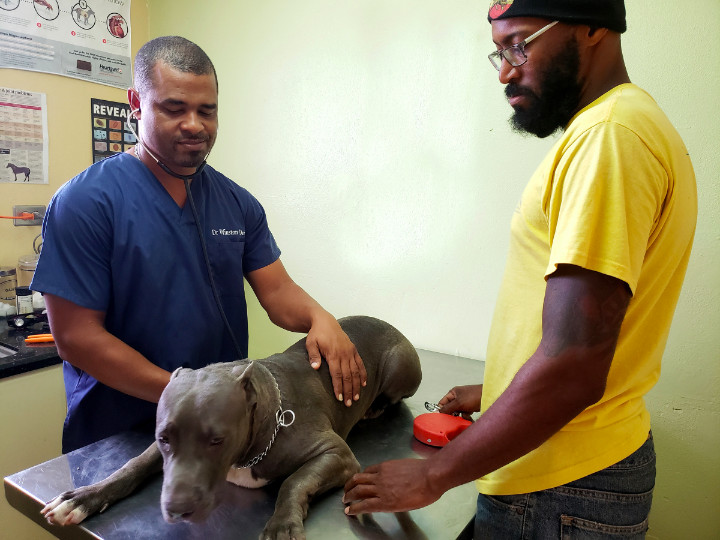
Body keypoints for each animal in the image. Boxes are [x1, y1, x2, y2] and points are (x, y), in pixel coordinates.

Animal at [40, 316, 422, 540]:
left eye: (217, 440)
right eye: (164, 439)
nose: (177, 507)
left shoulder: (337, 453)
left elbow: (296, 481)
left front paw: (282, 524)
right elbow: (131, 466)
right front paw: (82, 498)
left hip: (399, 365)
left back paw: (375, 408)